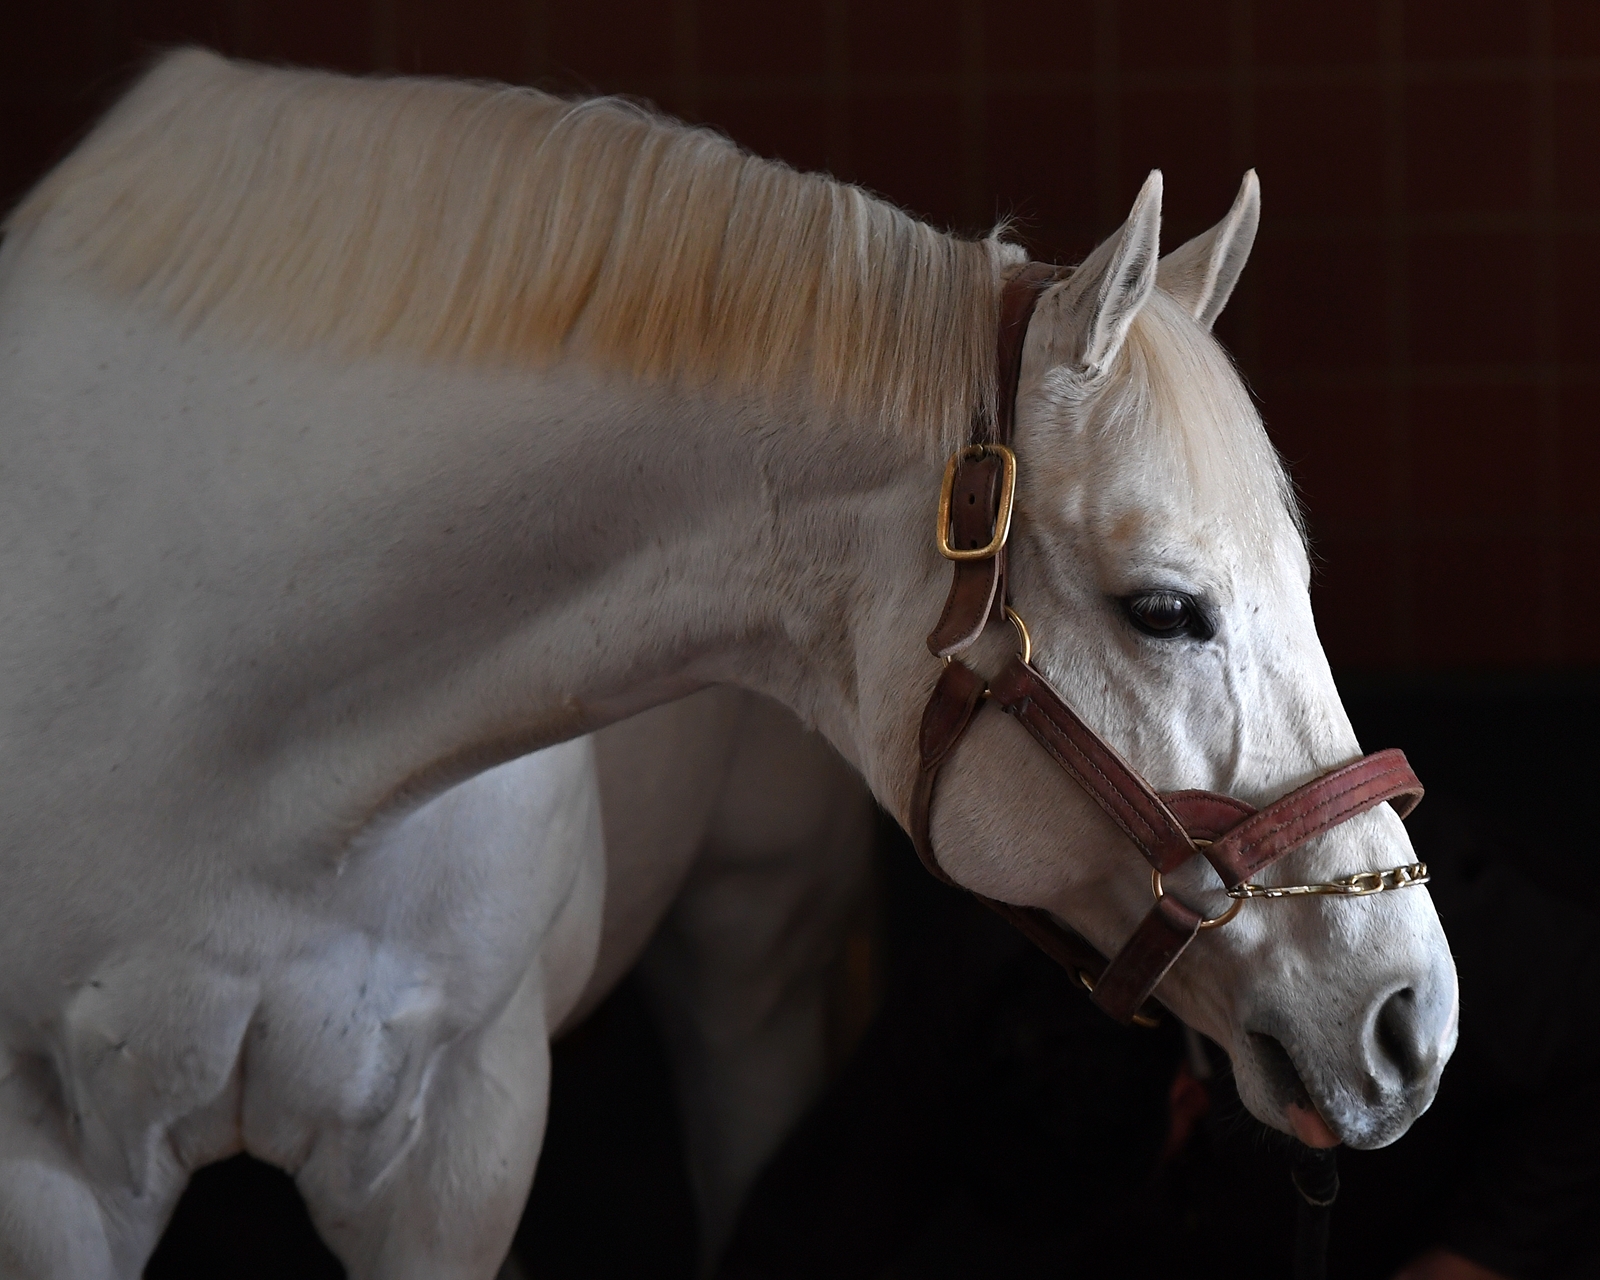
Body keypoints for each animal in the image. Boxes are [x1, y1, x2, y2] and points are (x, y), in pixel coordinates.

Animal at [0, 55, 1452, 1280]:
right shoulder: (49, 1172)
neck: (232, 708)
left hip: (756, 960)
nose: (1409, 1017)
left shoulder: (456, 1147)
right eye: (1164, 609)